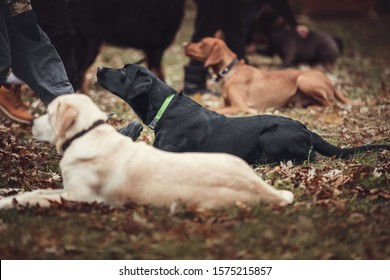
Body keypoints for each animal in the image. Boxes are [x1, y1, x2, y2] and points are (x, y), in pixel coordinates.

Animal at [0, 95, 292, 209]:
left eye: (49, 113)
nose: (31, 123)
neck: (88, 134)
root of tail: (264, 189)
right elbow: (34, 191)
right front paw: (8, 194)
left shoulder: (80, 197)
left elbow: (35, 197)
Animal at [96, 64, 386, 165]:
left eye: (123, 71)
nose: (98, 68)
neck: (166, 108)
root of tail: (308, 129)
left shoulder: (166, 152)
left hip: (272, 137)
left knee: (307, 157)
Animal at [184, 37, 360, 115]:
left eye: (202, 43)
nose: (184, 44)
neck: (231, 71)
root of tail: (329, 81)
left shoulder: (240, 107)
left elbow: (214, 109)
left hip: (304, 80)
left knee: (331, 104)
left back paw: (313, 107)